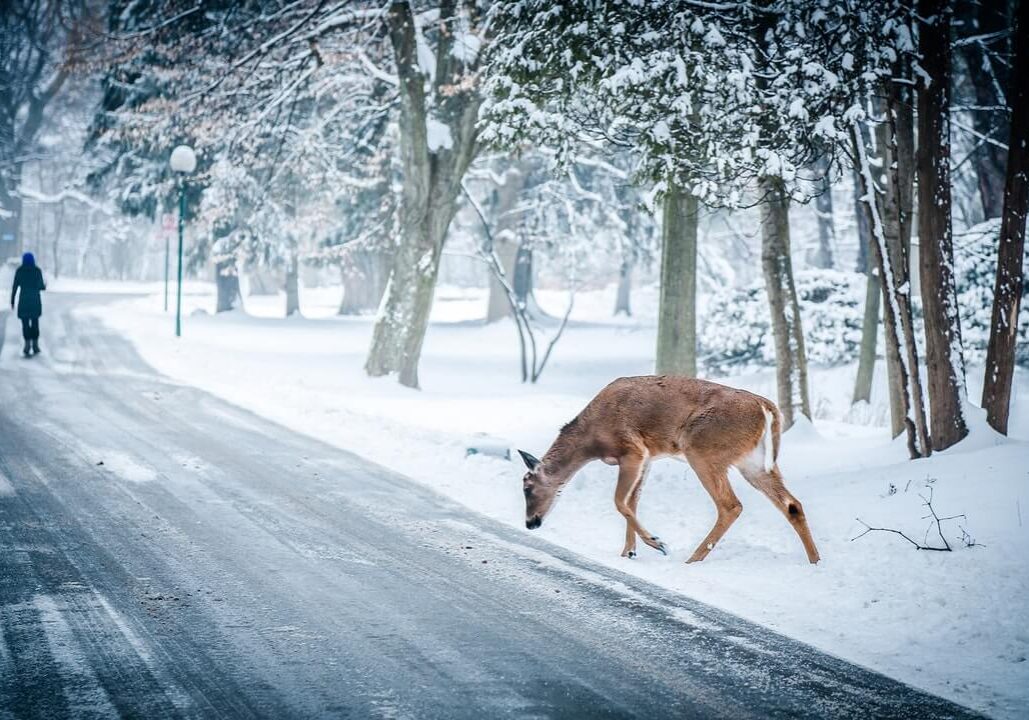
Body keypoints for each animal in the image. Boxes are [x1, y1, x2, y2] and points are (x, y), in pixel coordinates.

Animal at [518, 374, 823, 563]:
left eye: (527, 487)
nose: (530, 523)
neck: (591, 440)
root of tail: (766, 407)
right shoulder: (648, 458)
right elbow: (632, 502)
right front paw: (629, 552)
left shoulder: (633, 449)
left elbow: (619, 501)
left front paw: (656, 543)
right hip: (754, 462)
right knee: (792, 505)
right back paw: (815, 561)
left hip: (702, 449)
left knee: (731, 505)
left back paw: (692, 559)